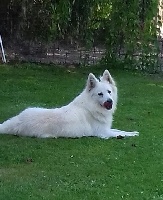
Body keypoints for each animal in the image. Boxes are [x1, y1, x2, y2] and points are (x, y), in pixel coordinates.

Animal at [0, 70, 139, 139]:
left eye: (109, 92)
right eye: (100, 94)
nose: (110, 101)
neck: (91, 107)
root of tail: (18, 120)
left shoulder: (107, 129)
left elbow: (119, 130)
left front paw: (133, 131)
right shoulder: (103, 133)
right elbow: (121, 134)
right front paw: (132, 134)